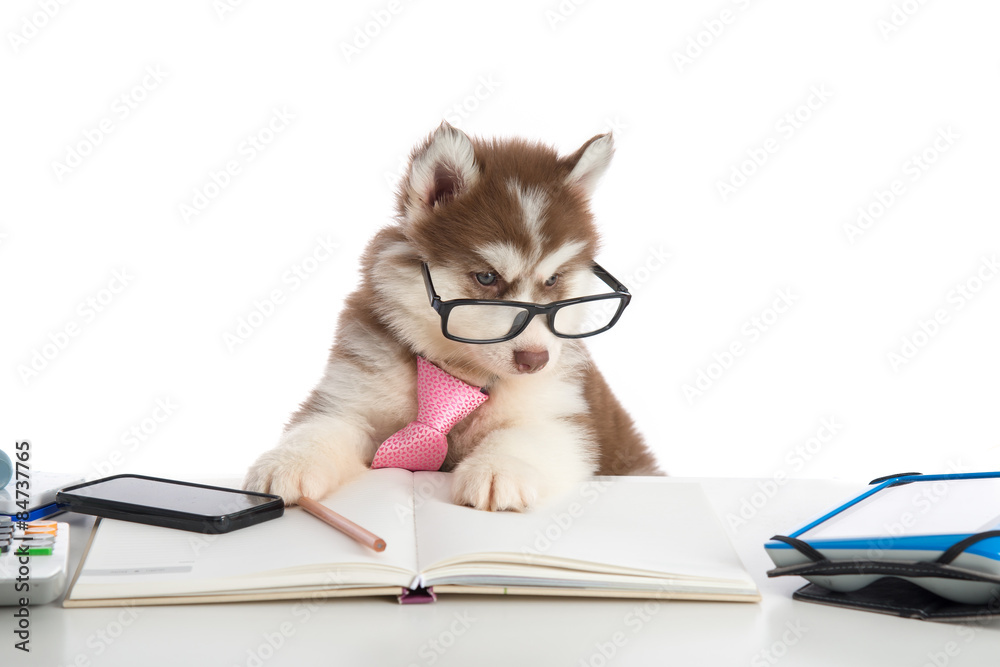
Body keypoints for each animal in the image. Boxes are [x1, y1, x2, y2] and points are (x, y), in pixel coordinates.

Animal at [243, 122, 660, 508]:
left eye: (554, 279)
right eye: (487, 277)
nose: (535, 360)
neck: (459, 372)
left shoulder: (565, 416)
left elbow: (526, 436)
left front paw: (498, 469)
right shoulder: (349, 398)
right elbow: (321, 428)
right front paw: (288, 462)